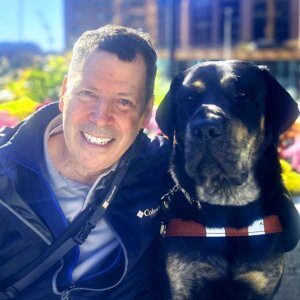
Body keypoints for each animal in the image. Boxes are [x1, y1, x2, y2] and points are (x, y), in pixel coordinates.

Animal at [155, 59, 300, 298]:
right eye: (188, 99)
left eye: (242, 95)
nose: (204, 128)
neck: (228, 209)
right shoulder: (186, 280)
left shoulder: (260, 281)